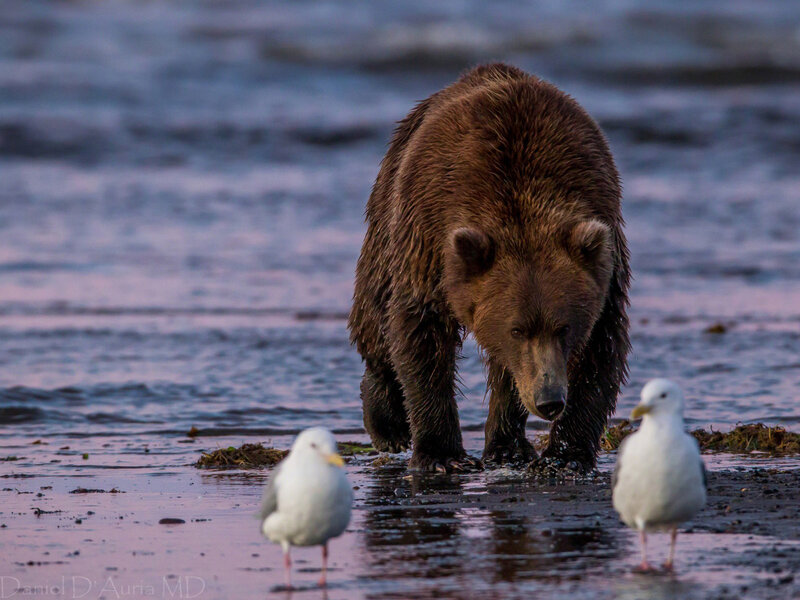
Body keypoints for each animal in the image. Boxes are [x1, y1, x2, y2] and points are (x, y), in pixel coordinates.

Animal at [348, 63, 630, 473]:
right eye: (517, 329)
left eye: (563, 327)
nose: (549, 400)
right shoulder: (429, 234)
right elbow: (421, 331)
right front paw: (441, 454)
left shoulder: (604, 258)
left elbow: (601, 348)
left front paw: (565, 455)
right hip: (388, 207)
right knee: (375, 311)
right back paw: (388, 423)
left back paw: (507, 445)